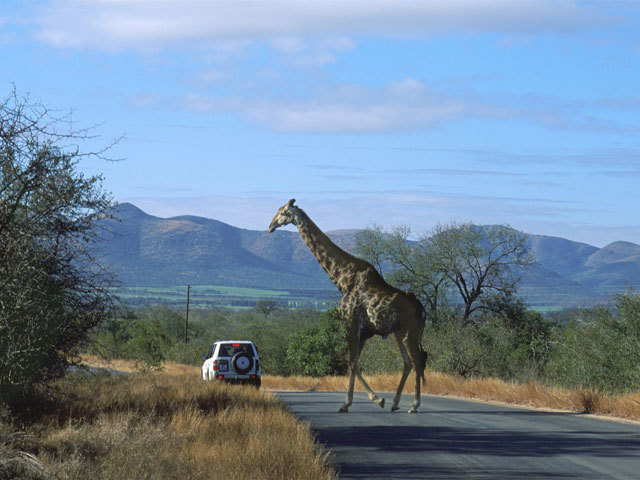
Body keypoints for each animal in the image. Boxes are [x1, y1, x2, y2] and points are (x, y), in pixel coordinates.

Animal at [268, 199, 428, 413]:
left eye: (283, 212)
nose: (270, 226)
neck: (341, 278)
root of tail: (423, 310)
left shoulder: (350, 322)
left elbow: (352, 363)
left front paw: (367, 400)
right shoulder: (363, 331)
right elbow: (354, 362)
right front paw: (366, 401)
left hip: (409, 332)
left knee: (417, 361)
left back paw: (414, 405)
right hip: (399, 332)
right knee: (408, 362)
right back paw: (395, 403)